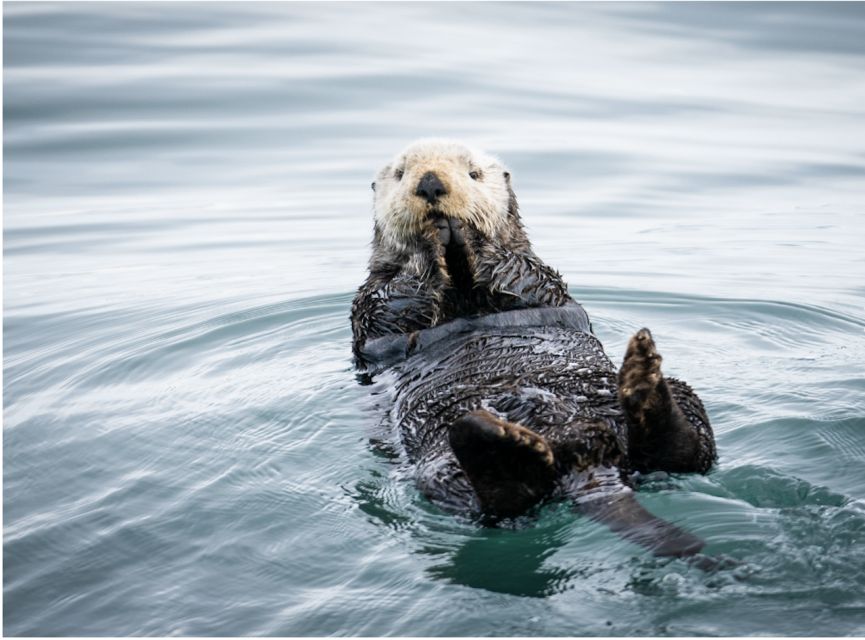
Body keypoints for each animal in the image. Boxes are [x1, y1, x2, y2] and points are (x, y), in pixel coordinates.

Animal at [352, 139, 716, 556]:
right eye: (400, 175)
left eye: (474, 173)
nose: (430, 184)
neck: (462, 287)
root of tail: (585, 456)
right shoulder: (373, 306)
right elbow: (396, 298)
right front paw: (428, 244)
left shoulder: (538, 278)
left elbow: (517, 272)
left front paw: (471, 236)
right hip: (439, 467)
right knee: (500, 503)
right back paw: (496, 441)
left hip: (680, 404)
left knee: (686, 452)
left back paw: (642, 378)